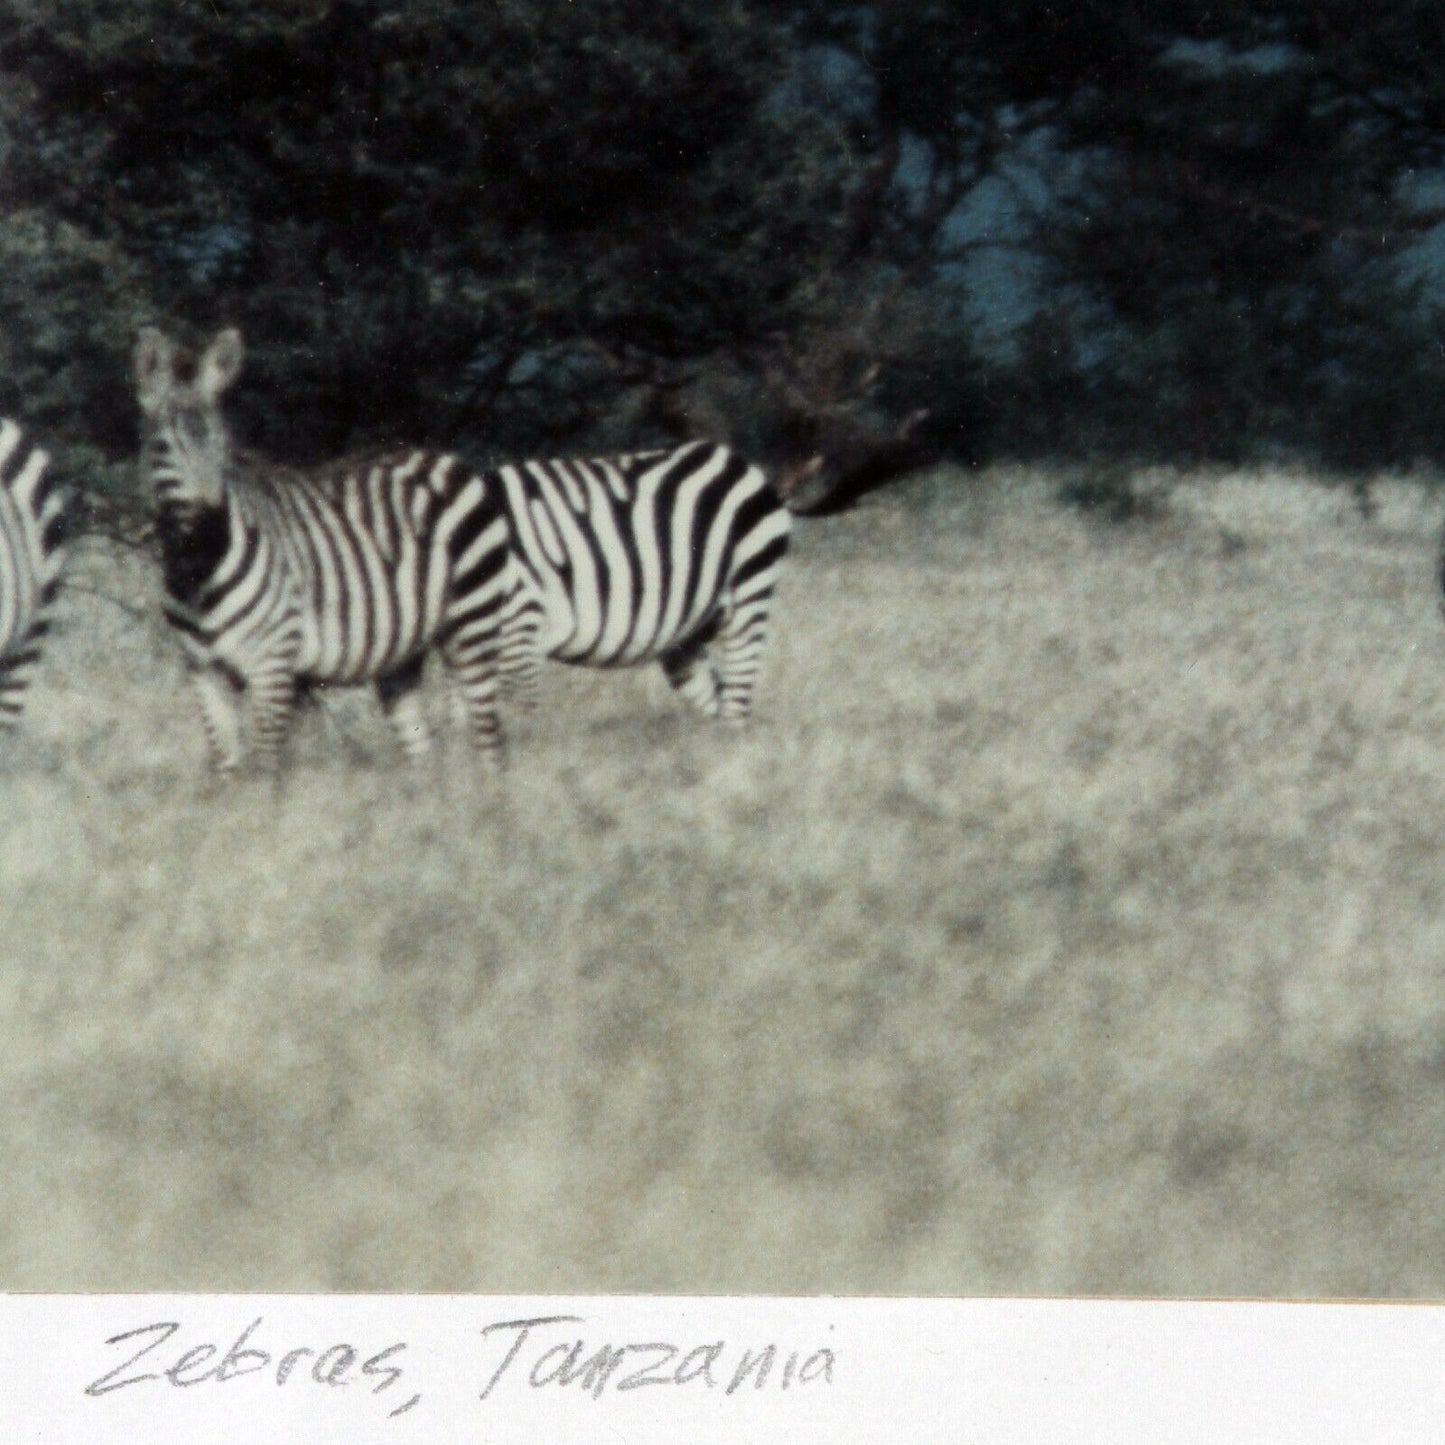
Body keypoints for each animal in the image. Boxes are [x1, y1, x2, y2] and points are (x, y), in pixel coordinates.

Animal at [134, 326, 789, 771]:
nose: (206, 536)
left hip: (749, 597)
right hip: (685, 635)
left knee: (740, 699)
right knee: (718, 701)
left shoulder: (520, 627)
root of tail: (729, 456)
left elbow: (511, 724)